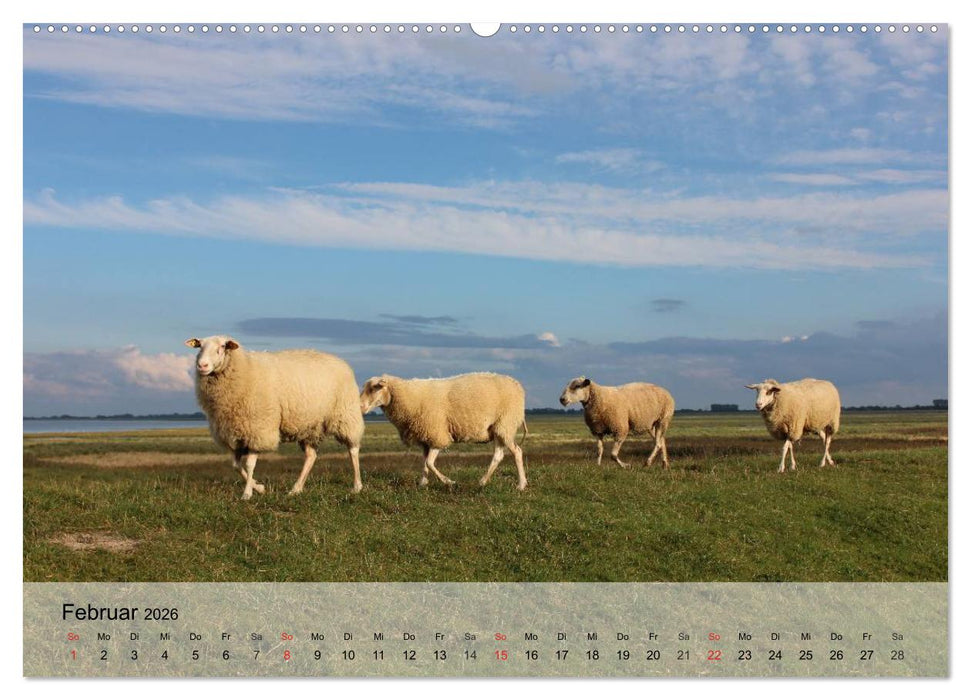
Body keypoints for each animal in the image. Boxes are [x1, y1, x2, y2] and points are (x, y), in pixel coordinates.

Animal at [184, 335, 365, 499]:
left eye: (222, 347)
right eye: (199, 346)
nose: (202, 365)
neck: (244, 369)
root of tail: (340, 360)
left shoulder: (257, 429)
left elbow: (249, 465)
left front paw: (247, 493)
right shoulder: (235, 434)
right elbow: (236, 465)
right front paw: (259, 488)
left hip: (346, 415)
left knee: (353, 450)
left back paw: (357, 486)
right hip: (309, 426)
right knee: (311, 456)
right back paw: (296, 489)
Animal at [359, 372, 528, 490]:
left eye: (374, 388)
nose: (360, 407)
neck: (410, 398)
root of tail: (517, 385)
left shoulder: (437, 435)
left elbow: (429, 463)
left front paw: (449, 482)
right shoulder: (425, 438)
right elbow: (424, 462)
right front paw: (423, 483)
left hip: (506, 424)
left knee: (517, 451)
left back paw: (521, 484)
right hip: (499, 429)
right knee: (498, 455)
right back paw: (483, 481)